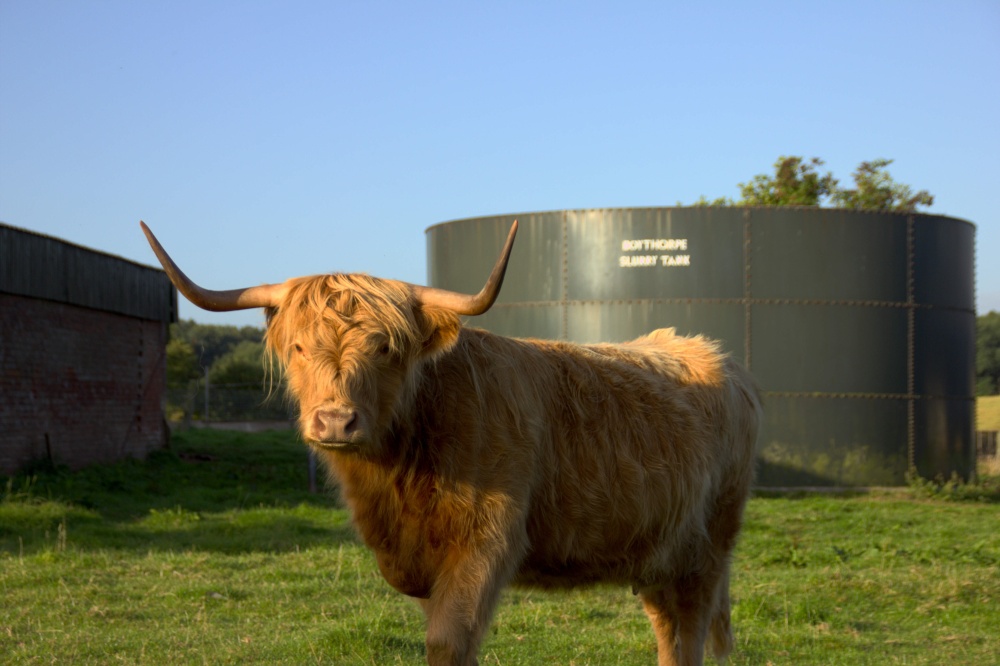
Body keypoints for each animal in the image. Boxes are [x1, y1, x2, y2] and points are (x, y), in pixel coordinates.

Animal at [141, 220, 761, 666]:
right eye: (296, 347)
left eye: (386, 349)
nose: (336, 422)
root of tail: (709, 353)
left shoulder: (487, 542)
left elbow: (447, 642)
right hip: (658, 551)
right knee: (667, 630)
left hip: (708, 548)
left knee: (689, 630)